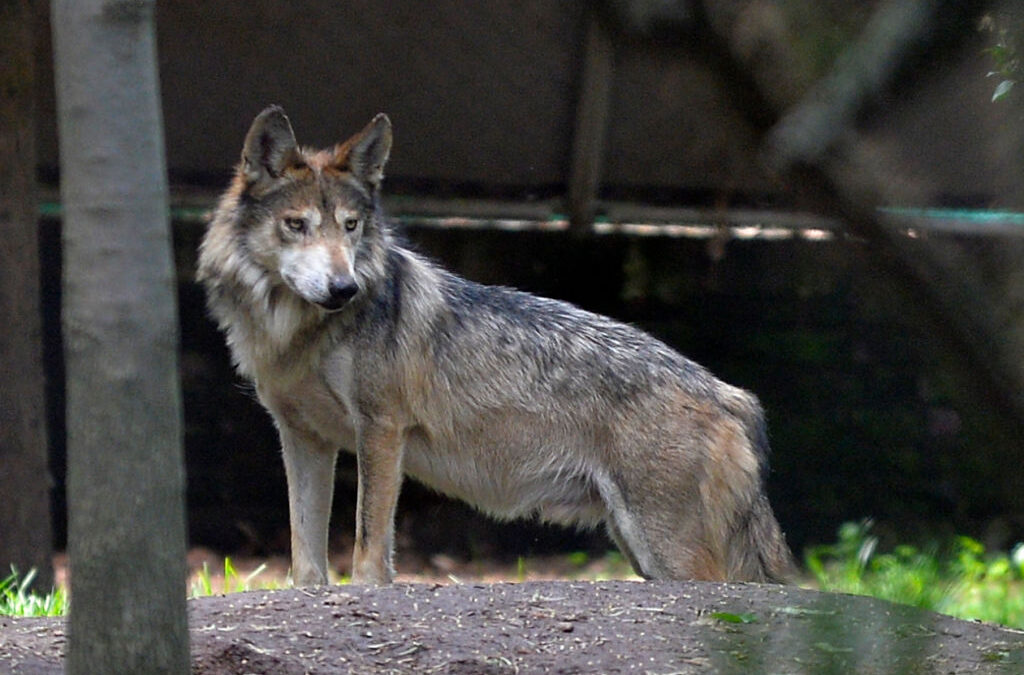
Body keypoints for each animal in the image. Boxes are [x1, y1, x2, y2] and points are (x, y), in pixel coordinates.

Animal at [197, 106, 795, 586]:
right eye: (296, 225)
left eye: (350, 227)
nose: (344, 289)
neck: (297, 334)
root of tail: (732, 396)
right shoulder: (303, 437)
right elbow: (305, 559)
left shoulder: (382, 430)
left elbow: (370, 550)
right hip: (638, 548)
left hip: (666, 553)